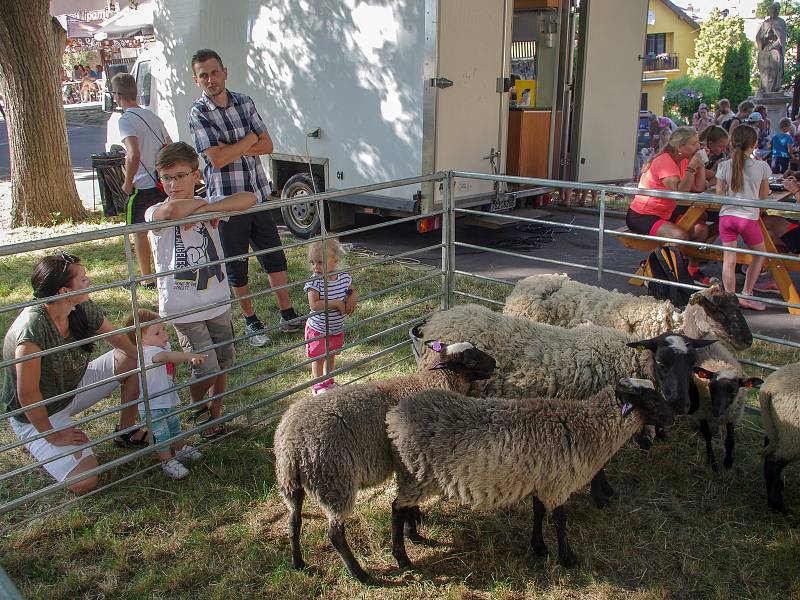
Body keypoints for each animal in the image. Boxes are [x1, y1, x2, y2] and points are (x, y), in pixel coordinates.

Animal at [276, 342, 500, 580]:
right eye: (471, 361)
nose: (495, 363)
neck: (428, 383)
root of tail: (290, 444)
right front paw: (413, 530)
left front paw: (415, 522)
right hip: (334, 481)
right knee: (334, 533)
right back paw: (360, 575)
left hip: (293, 484)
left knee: (294, 522)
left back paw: (298, 563)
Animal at [384, 378, 672, 568]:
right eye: (651, 399)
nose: (673, 415)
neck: (586, 426)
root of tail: (394, 417)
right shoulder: (558, 484)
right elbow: (560, 521)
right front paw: (568, 558)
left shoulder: (541, 479)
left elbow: (538, 513)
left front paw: (539, 547)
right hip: (417, 472)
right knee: (396, 508)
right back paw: (403, 559)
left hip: (412, 473)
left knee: (405, 506)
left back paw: (415, 536)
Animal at [688, 346, 764, 474]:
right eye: (710, 388)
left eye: (734, 392)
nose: (716, 412)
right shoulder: (702, 413)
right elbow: (707, 436)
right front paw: (712, 462)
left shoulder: (732, 416)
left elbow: (730, 440)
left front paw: (728, 462)